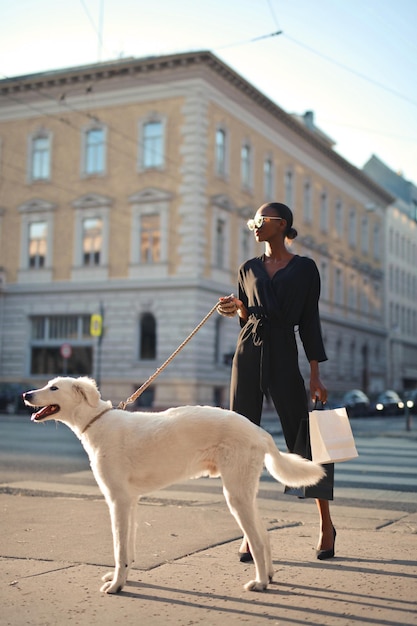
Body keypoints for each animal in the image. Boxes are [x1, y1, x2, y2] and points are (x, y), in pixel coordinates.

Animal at [23, 378, 324, 592]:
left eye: (54, 387)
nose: (25, 395)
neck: (97, 423)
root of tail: (259, 431)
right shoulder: (130, 502)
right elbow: (128, 547)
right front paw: (123, 577)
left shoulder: (117, 501)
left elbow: (119, 548)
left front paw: (117, 585)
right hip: (244, 494)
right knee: (265, 536)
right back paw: (269, 576)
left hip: (236, 495)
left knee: (258, 541)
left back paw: (260, 583)